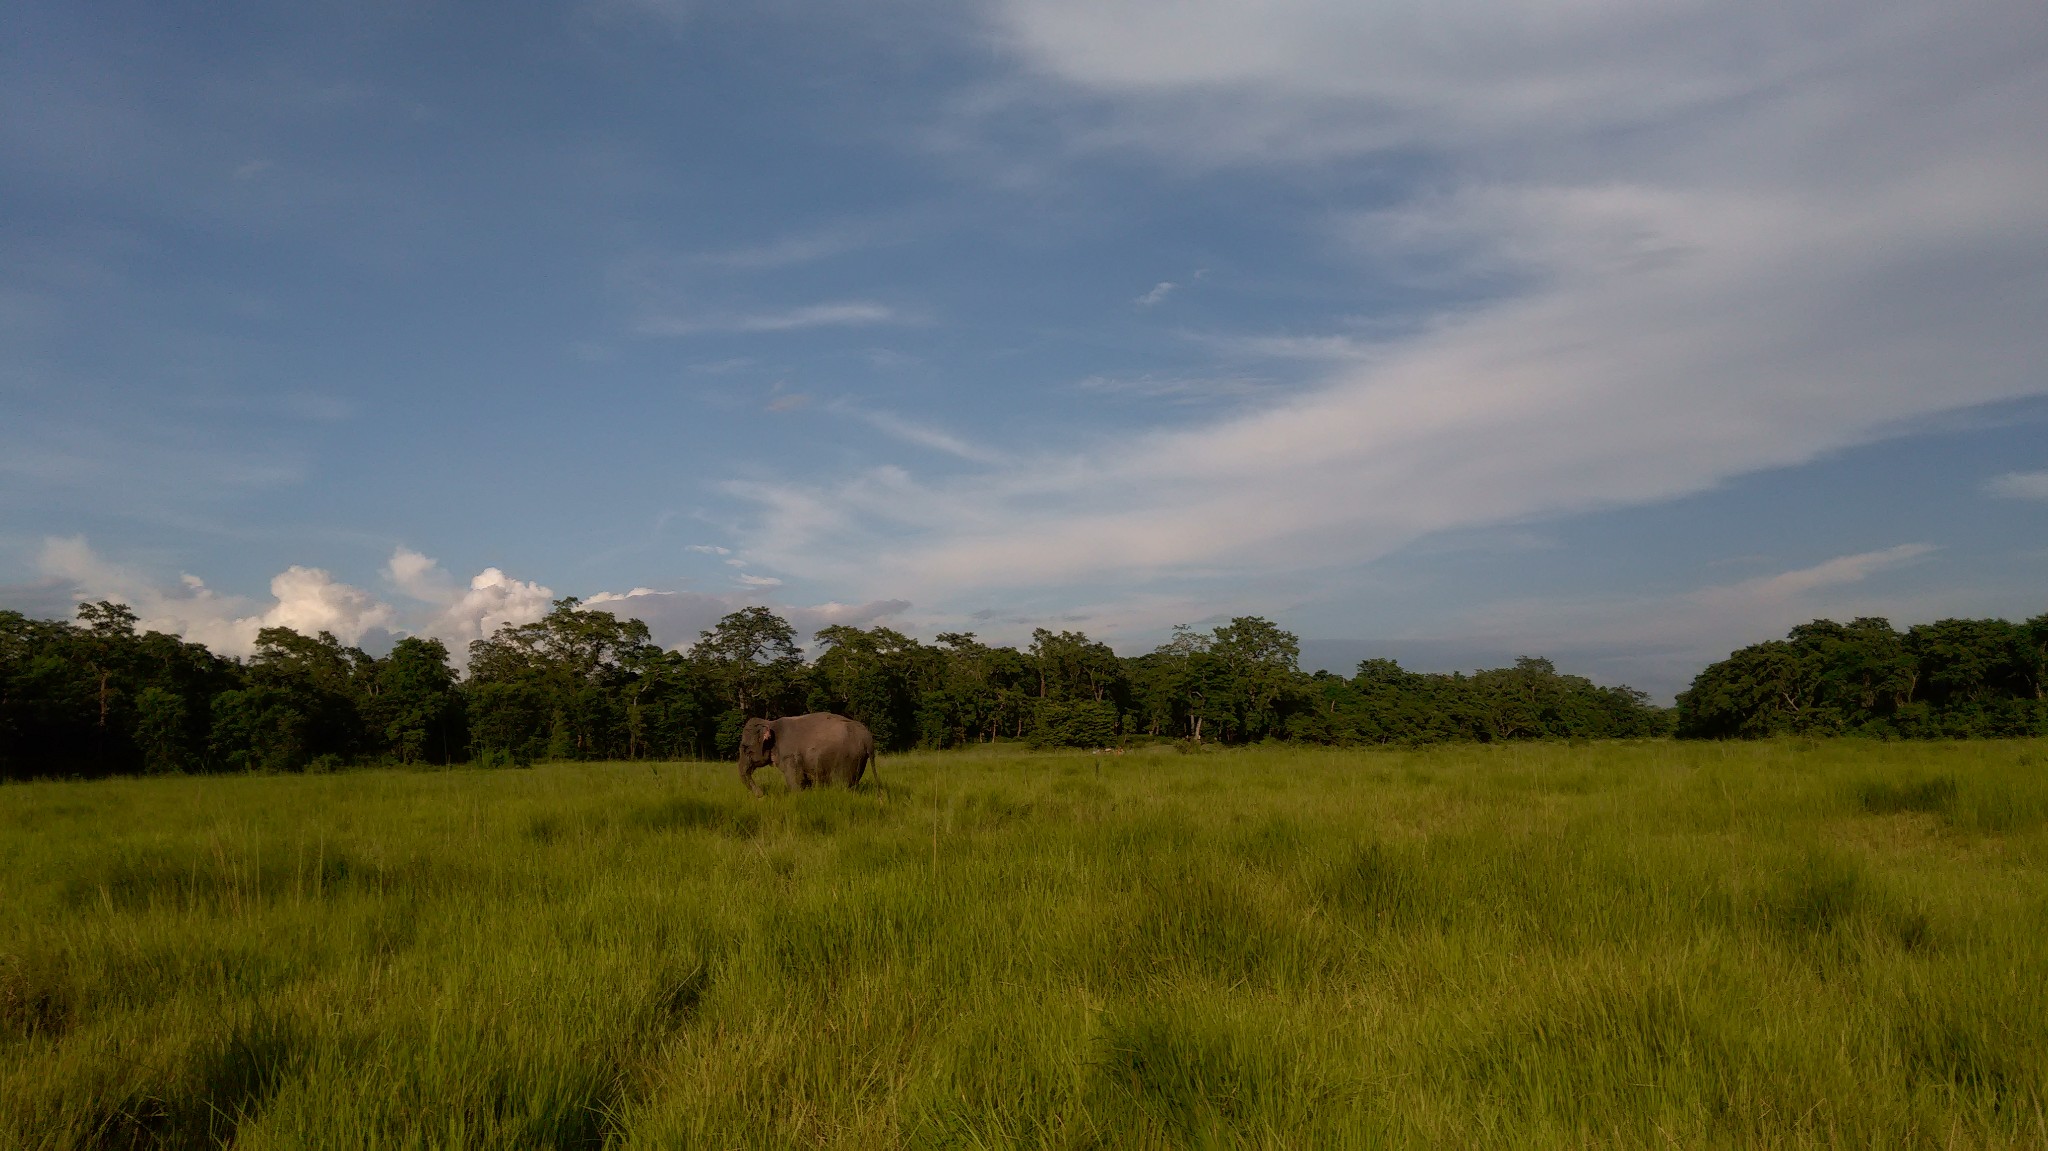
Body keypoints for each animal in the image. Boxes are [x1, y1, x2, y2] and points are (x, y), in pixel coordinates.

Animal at [741, 712, 876, 794]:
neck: (770, 723)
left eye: (745, 748)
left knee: (841, 783)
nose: (761, 794)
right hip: (859, 759)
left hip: (847, 759)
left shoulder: (789, 755)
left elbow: (795, 778)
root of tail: (867, 737)